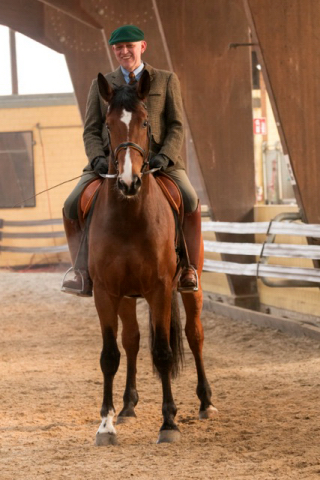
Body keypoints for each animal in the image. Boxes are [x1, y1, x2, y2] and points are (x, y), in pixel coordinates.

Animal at [87, 69, 218, 444]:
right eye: (109, 125)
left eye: (145, 123)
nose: (128, 182)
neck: (129, 216)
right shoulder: (105, 292)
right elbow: (110, 355)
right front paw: (106, 424)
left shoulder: (160, 289)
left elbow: (162, 352)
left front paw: (169, 423)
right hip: (127, 297)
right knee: (131, 341)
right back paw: (128, 406)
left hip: (190, 286)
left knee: (194, 335)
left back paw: (205, 403)